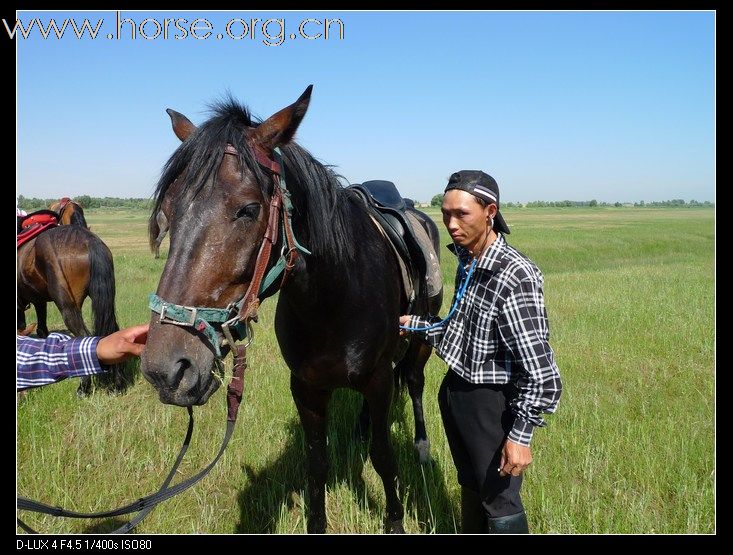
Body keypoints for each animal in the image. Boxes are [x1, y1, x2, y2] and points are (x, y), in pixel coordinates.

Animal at [17, 225, 129, 396]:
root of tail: (88, 240)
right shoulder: (39, 301)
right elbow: (42, 330)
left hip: (68, 307)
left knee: (84, 337)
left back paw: (83, 387)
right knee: (112, 333)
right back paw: (117, 385)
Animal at [141, 87, 444, 536]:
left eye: (248, 209)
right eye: (169, 211)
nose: (166, 369)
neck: (334, 300)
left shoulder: (376, 381)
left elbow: (384, 457)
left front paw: (394, 521)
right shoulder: (306, 387)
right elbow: (316, 464)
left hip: (420, 345)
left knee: (415, 382)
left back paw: (421, 445)